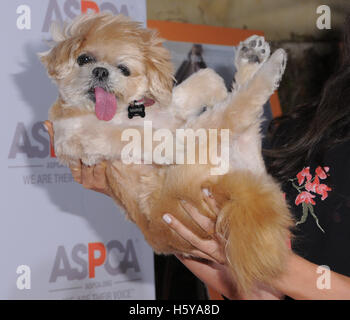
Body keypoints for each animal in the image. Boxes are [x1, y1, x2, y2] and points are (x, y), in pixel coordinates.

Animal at [39, 12, 294, 294]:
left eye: (124, 69)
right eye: (84, 58)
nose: (100, 71)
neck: (124, 112)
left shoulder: (170, 109)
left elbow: (201, 82)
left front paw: (215, 89)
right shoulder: (77, 136)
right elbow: (138, 136)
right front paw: (171, 143)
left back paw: (252, 58)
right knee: (237, 109)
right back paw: (268, 66)